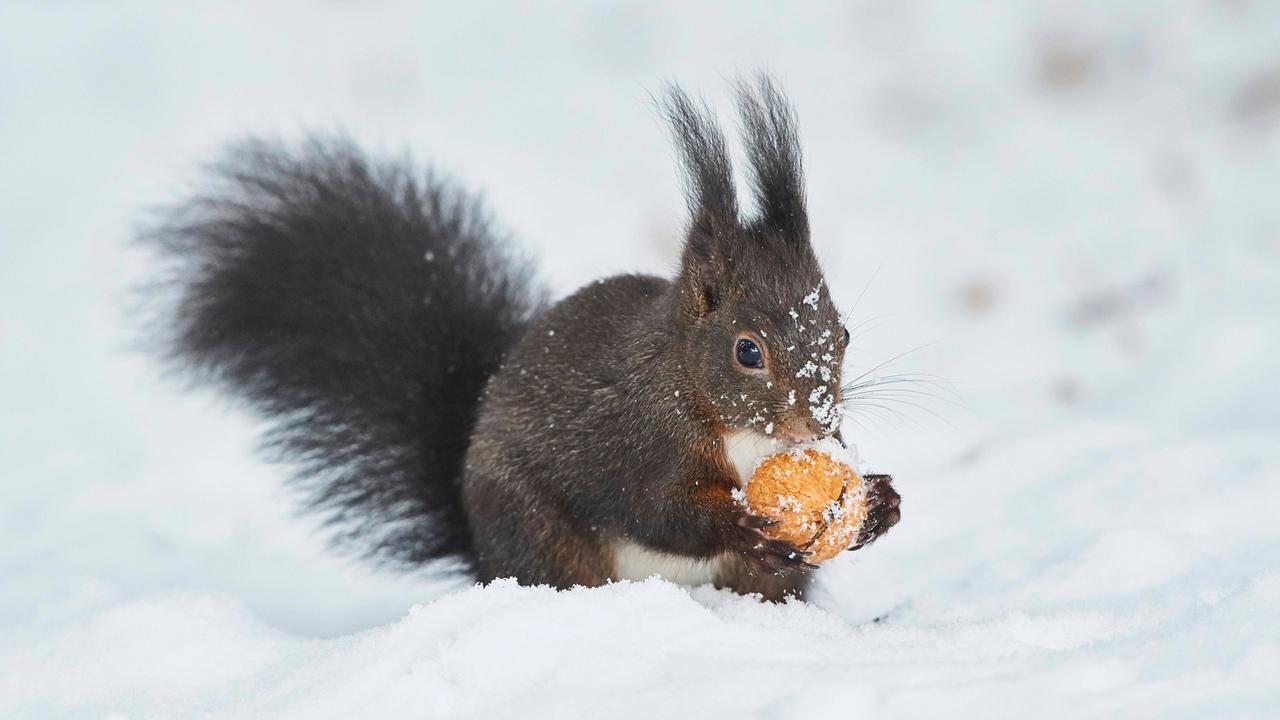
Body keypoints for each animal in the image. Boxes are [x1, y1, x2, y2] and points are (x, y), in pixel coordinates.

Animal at [146, 77, 900, 602]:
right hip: (539, 534)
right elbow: (657, 509)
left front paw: (879, 503)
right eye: (748, 351)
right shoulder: (635, 436)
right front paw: (738, 524)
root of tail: (483, 555)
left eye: (842, 332)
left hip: (764, 581)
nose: (819, 417)